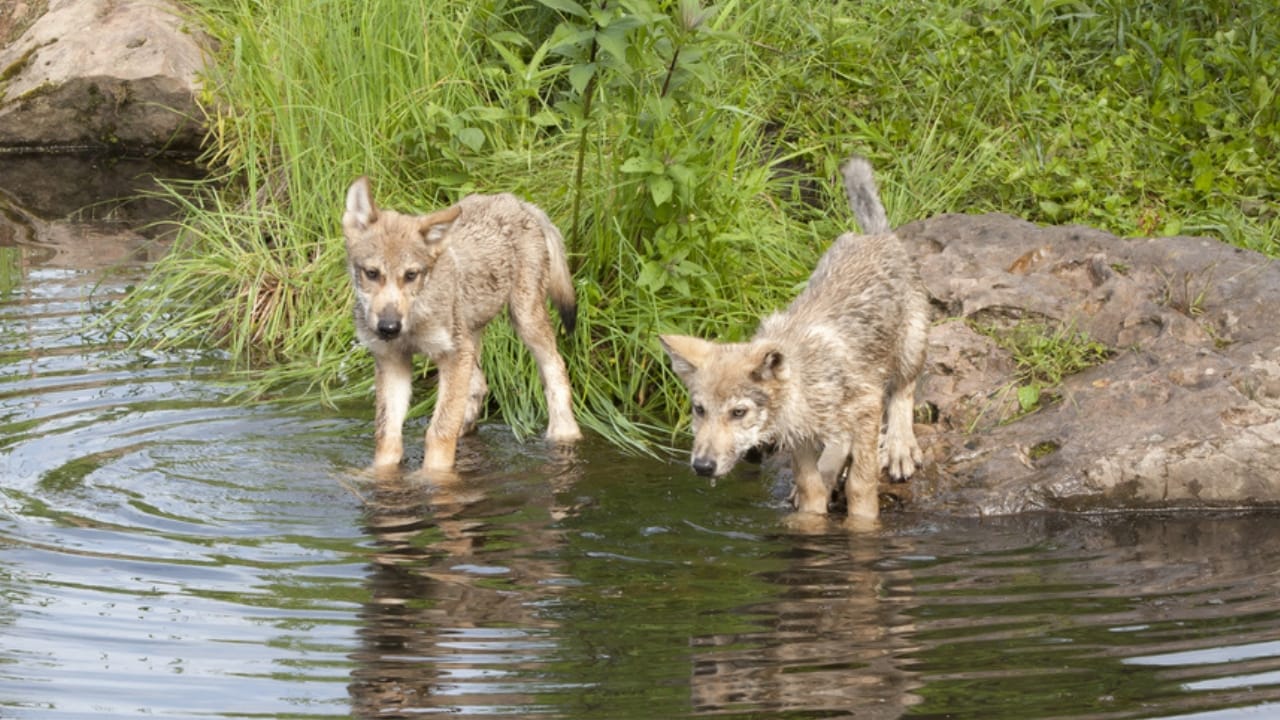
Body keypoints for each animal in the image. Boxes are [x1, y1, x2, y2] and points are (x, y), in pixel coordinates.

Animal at [342, 177, 582, 473]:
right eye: (372, 273)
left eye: (411, 275)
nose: (389, 327)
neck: (415, 320)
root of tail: (515, 200)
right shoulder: (393, 362)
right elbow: (388, 436)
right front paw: (379, 475)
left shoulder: (454, 355)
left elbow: (439, 431)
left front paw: (435, 477)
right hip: (473, 336)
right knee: (479, 388)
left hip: (524, 319)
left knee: (556, 370)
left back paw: (565, 433)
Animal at [660, 155, 928, 521]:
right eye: (699, 409)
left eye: (738, 412)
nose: (702, 466)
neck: (803, 389)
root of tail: (877, 237)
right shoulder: (799, 438)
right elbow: (810, 488)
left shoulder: (866, 407)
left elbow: (860, 485)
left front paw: (862, 520)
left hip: (910, 346)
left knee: (903, 392)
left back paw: (900, 449)